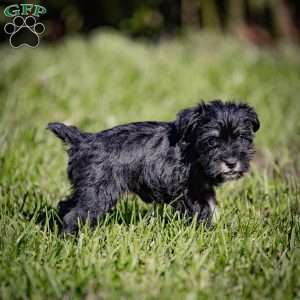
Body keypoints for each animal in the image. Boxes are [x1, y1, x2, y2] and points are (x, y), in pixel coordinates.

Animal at [48, 99, 258, 233]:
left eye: (241, 138)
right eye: (212, 141)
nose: (231, 163)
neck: (192, 150)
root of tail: (83, 140)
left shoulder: (202, 189)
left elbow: (212, 206)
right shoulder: (189, 191)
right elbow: (204, 211)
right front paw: (208, 233)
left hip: (86, 190)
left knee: (66, 205)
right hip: (98, 194)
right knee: (75, 215)